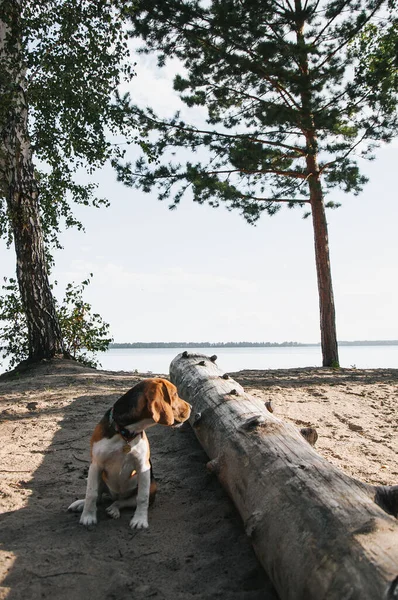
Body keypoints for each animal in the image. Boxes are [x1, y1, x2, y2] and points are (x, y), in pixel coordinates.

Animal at [68, 378, 191, 528]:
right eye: (175, 394)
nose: (191, 406)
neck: (126, 432)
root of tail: (115, 495)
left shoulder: (143, 467)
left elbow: (142, 498)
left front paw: (140, 520)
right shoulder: (96, 465)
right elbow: (91, 493)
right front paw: (88, 517)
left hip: (152, 487)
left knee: (122, 502)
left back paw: (114, 509)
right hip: (100, 477)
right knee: (99, 497)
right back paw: (81, 504)